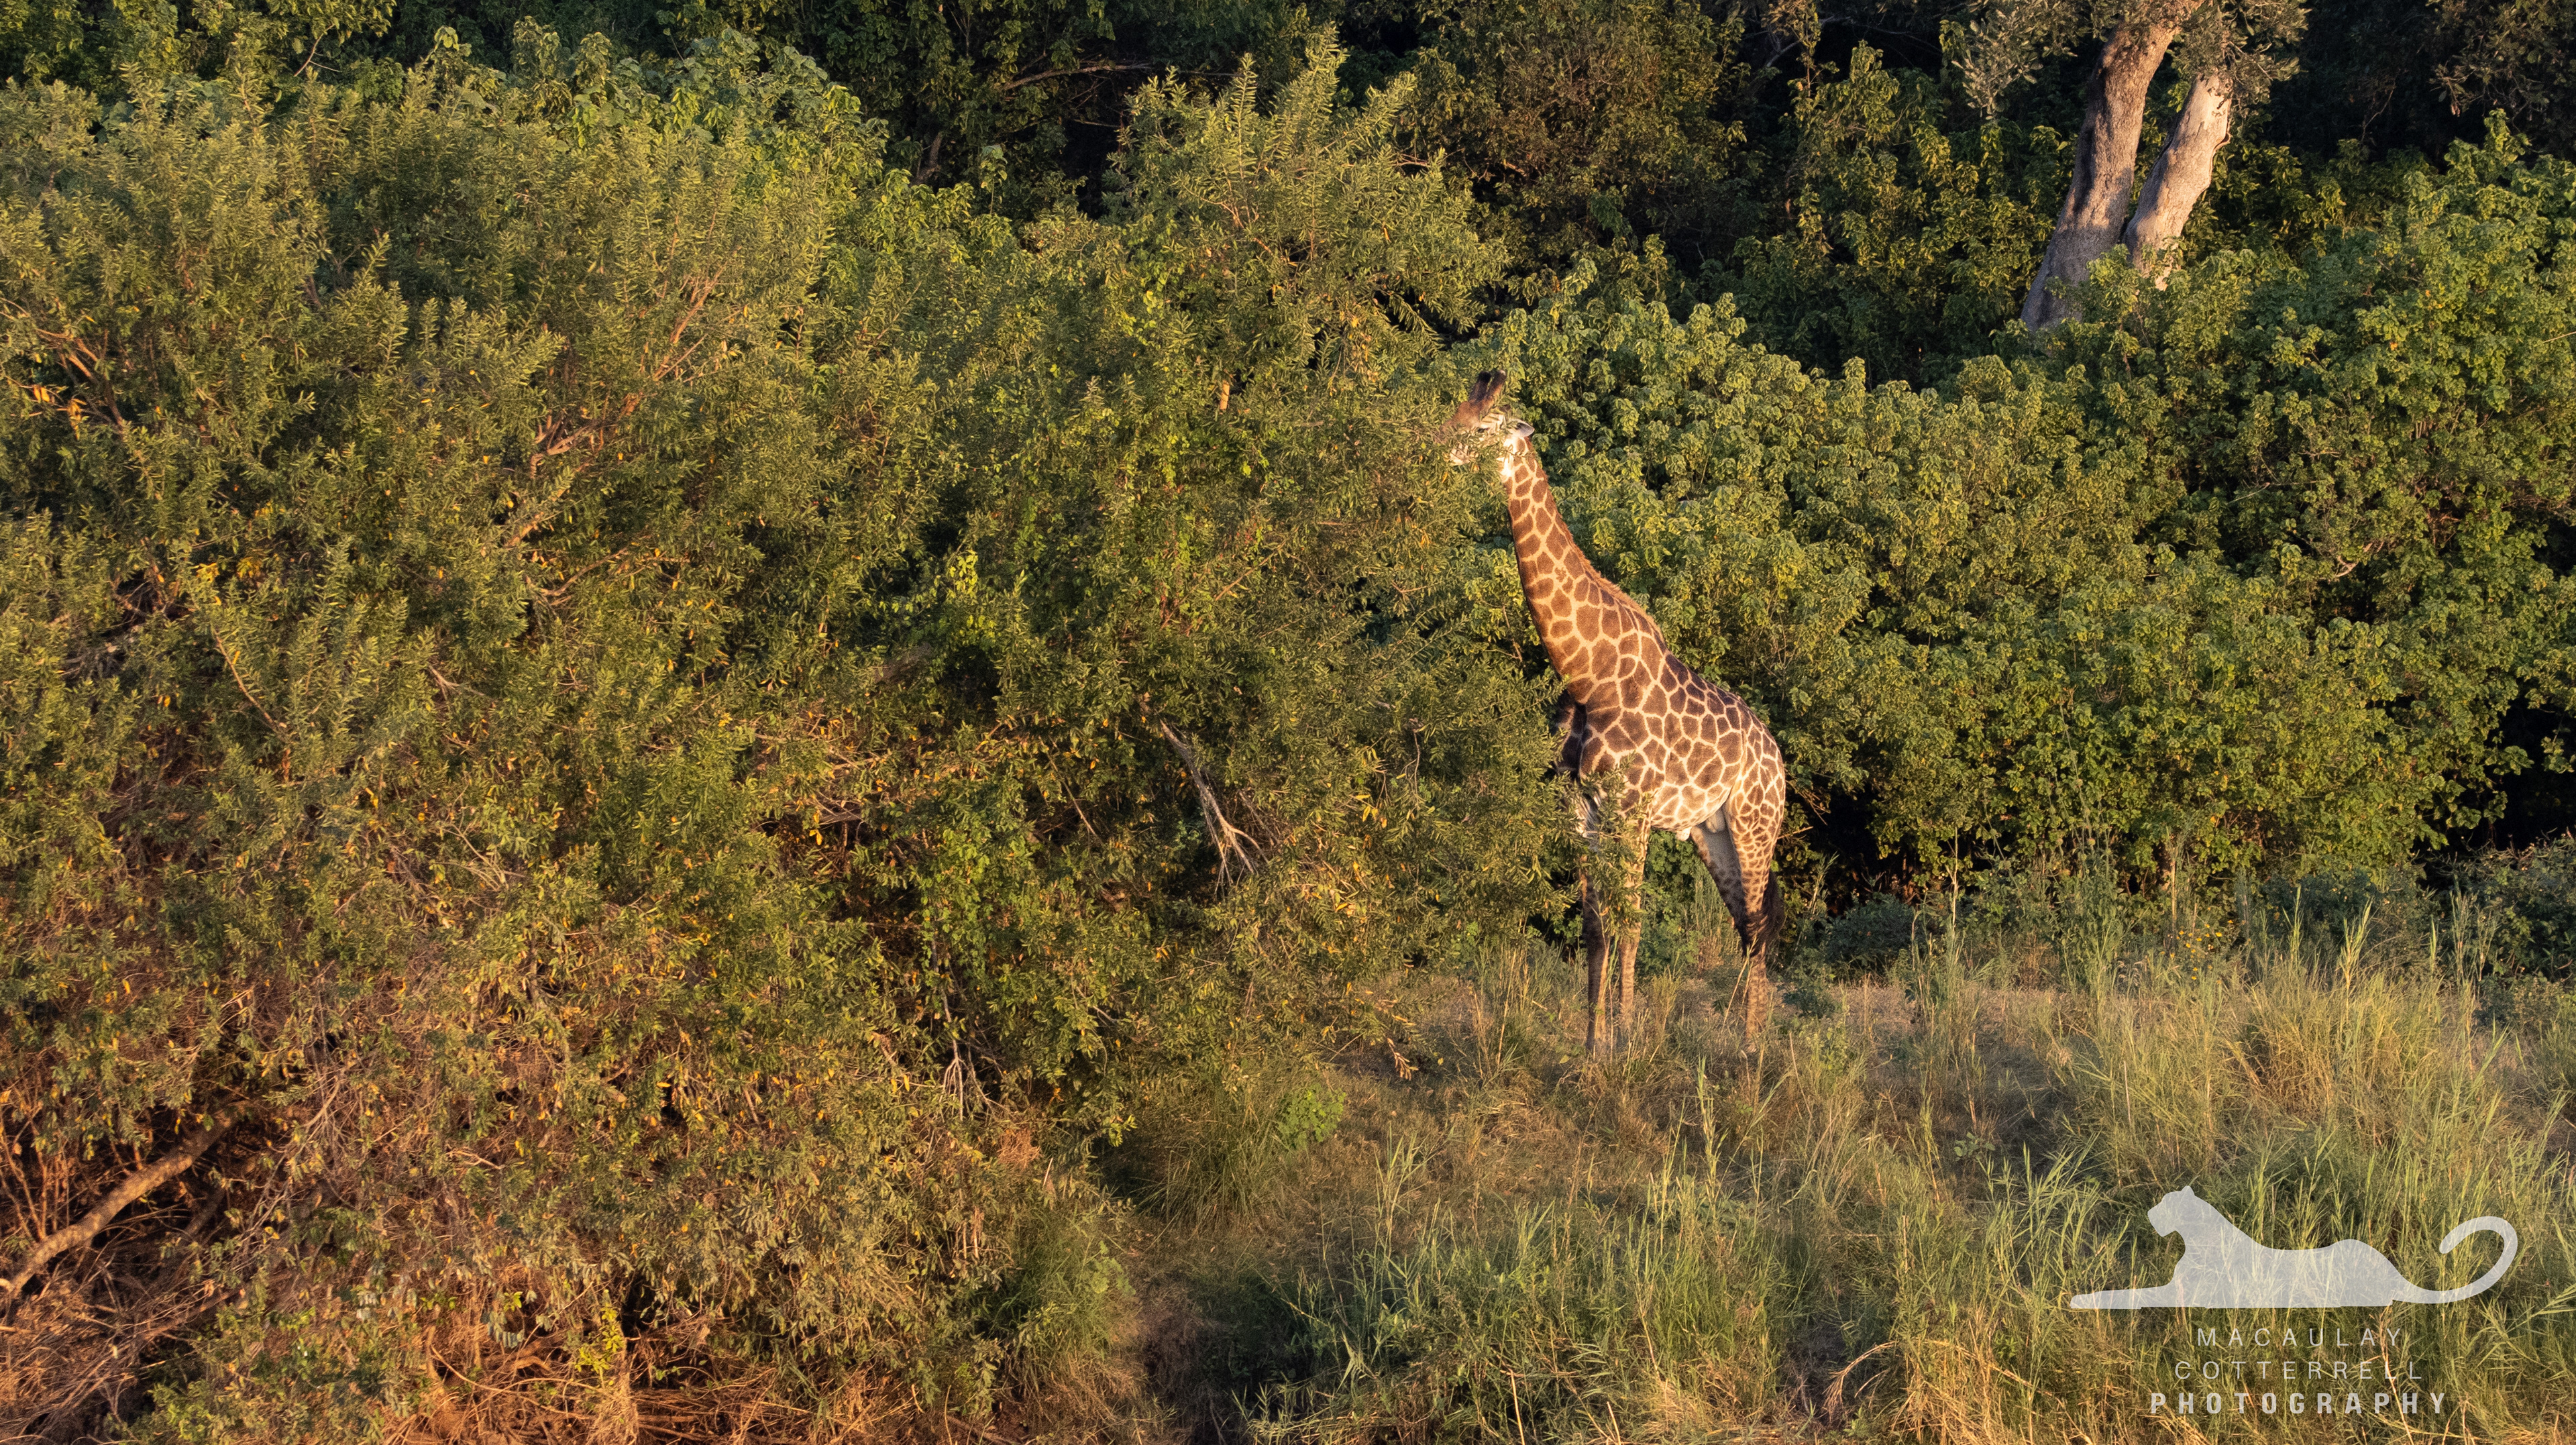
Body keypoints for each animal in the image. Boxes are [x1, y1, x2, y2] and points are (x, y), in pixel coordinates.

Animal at [1452, 370, 1789, 1055]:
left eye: (1484, 427)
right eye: (1456, 412)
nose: (1444, 451)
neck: (1587, 672)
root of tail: (1780, 763)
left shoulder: (1631, 812)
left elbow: (1630, 926)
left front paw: (1628, 1043)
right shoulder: (1582, 811)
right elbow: (1595, 930)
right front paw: (1591, 1046)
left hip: (1755, 824)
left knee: (1758, 925)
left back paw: (1751, 1046)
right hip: (1711, 833)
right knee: (1746, 925)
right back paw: (1746, 1038)